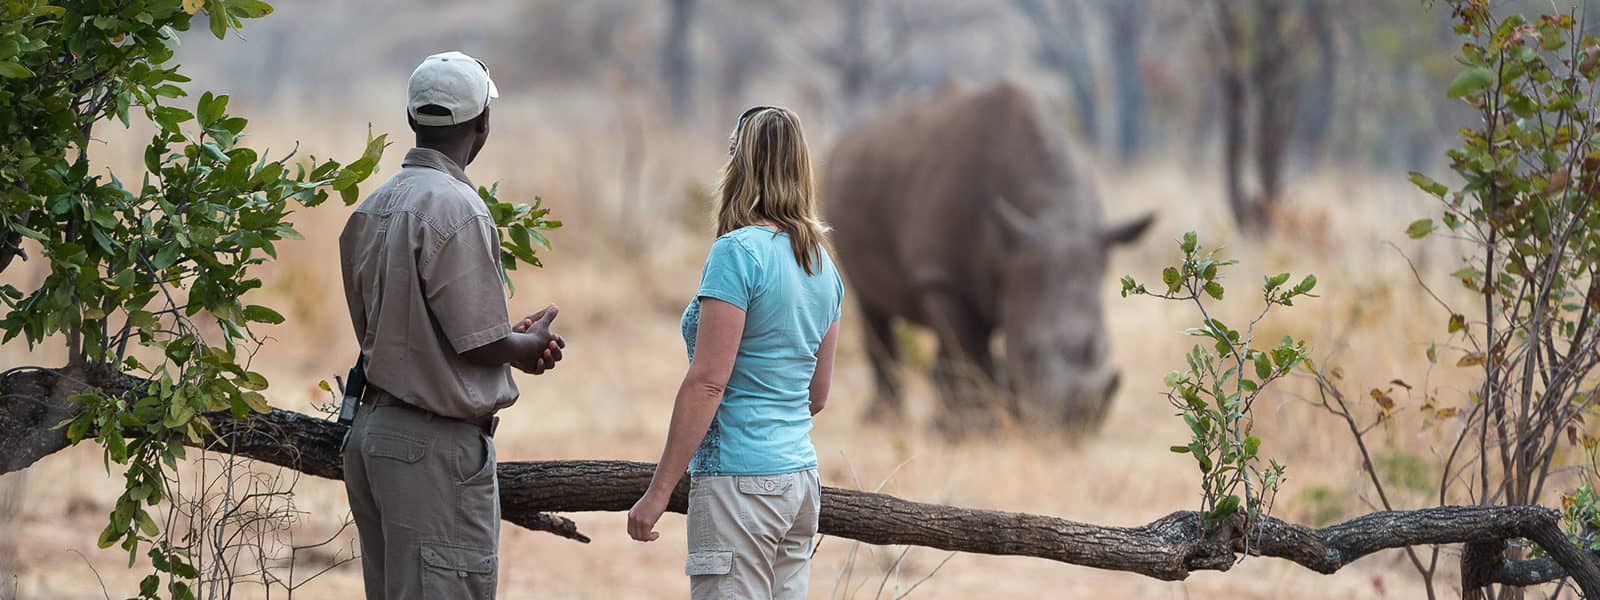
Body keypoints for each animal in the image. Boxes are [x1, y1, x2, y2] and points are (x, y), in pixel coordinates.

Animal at [823, 82, 1154, 432]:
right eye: (1029, 351)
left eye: (1103, 347)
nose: (1073, 427)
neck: (1053, 212)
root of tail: (849, 134)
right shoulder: (941, 277)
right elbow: (965, 349)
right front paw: (968, 430)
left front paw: (984, 424)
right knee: (872, 307)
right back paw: (885, 422)